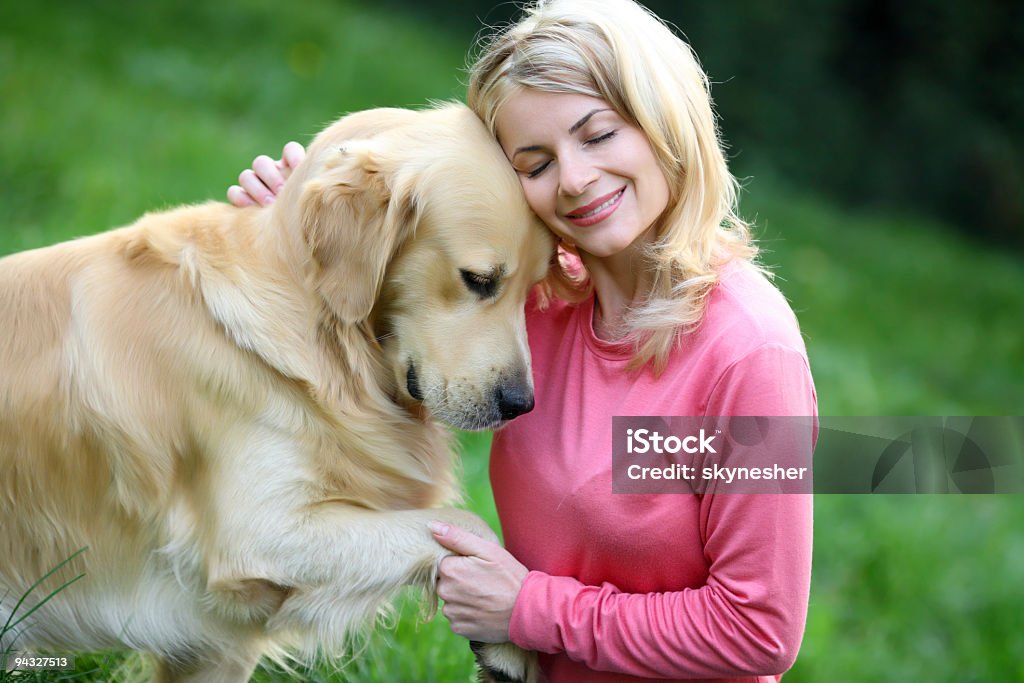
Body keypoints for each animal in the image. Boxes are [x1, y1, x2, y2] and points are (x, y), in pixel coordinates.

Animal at [0, 102, 548, 683]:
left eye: (533, 290)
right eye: (479, 279)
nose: (520, 405)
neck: (316, 329)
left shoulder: (212, 643)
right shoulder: (260, 535)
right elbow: (468, 527)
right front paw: (507, 639)